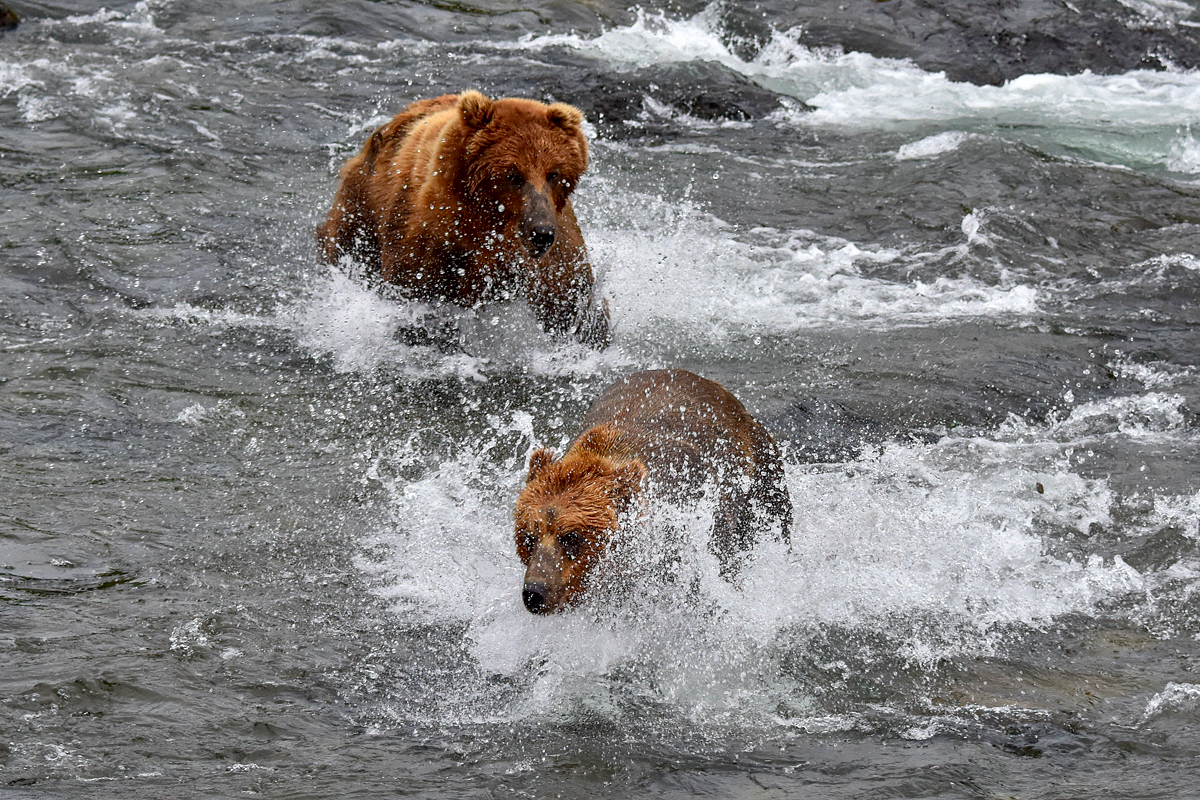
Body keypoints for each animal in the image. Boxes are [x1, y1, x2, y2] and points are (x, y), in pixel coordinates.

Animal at [316, 90, 609, 347]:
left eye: (553, 174)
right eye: (513, 175)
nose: (542, 233)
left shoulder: (554, 254)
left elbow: (572, 302)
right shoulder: (431, 241)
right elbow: (416, 296)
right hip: (361, 208)